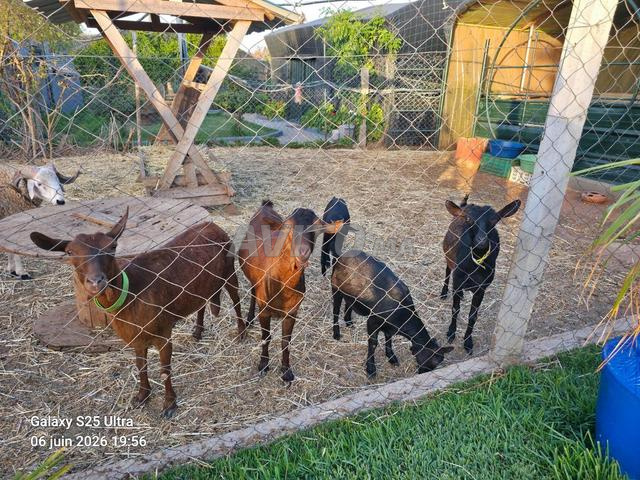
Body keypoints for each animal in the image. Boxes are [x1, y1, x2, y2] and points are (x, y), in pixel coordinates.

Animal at [30, 209, 243, 418]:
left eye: (112, 247)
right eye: (70, 252)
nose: (96, 281)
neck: (131, 293)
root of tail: (213, 224)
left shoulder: (163, 332)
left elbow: (164, 370)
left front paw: (169, 405)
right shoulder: (135, 337)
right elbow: (140, 365)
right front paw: (142, 396)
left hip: (229, 269)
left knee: (236, 299)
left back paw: (241, 332)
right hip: (201, 284)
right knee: (202, 302)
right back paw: (198, 331)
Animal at [238, 200, 327, 382]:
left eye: (317, 228)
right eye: (289, 227)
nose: (303, 252)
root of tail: (266, 205)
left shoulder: (292, 311)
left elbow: (286, 342)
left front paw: (286, 372)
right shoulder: (264, 310)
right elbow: (266, 337)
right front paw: (263, 365)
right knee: (252, 290)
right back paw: (249, 319)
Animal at [441, 194, 521, 354]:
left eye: (494, 220)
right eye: (468, 219)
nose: (481, 241)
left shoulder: (481, 288)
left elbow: (473, 316)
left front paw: (468, 342)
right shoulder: (458, 281)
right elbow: (455, 309)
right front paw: (451, 333)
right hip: (449, 259)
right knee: (447, 271)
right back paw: (444, 292)